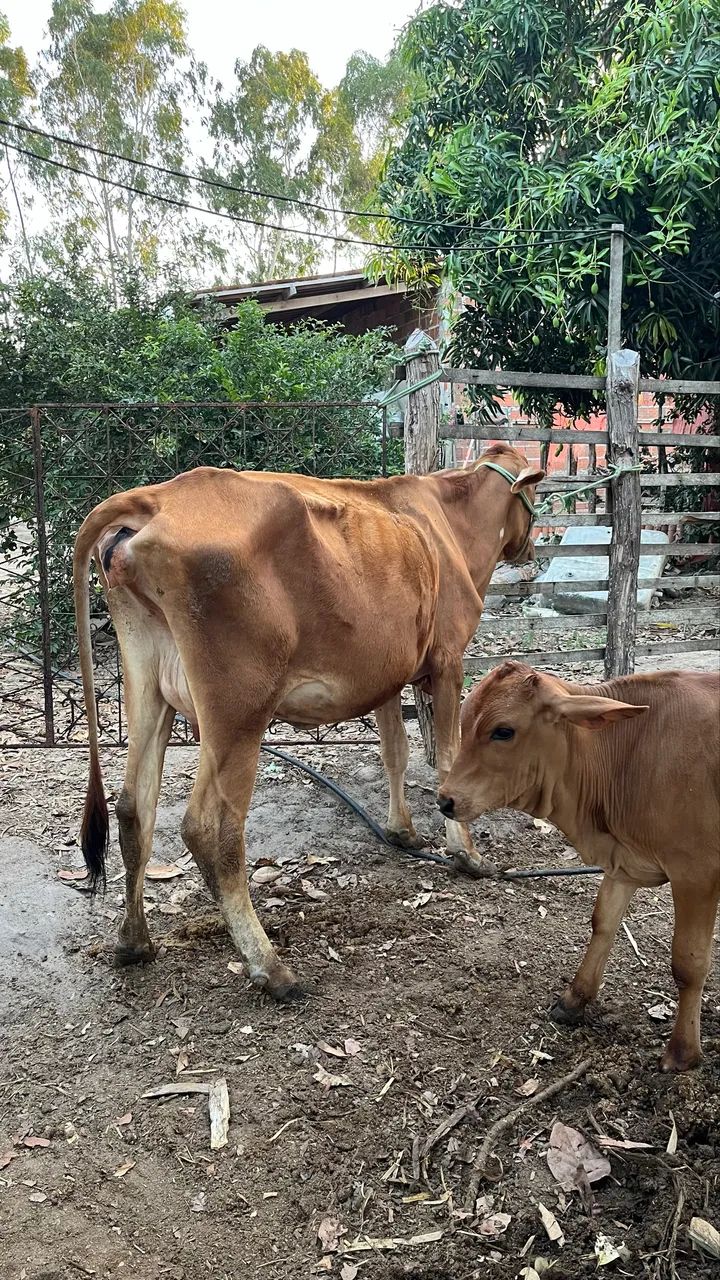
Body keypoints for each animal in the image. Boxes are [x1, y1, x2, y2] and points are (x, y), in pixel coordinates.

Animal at [73, 446, 544, 1000]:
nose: (532, 546)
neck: (450, 521)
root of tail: (156, 497)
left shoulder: (386, 674)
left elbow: (395, 751)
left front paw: (401, 831)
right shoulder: (449, 662)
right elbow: (447, 760)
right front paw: (466, 855)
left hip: (147, 683)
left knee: (133, 809)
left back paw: (134, 942)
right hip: (238, 709)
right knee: (210, 827)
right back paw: (269, 966)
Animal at [437, 661, 720, 1071]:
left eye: (503, 731)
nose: (445, 800)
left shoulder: (697, 873)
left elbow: (689, 961)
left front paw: (683, 1052)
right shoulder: (624, 862)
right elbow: (603, 923)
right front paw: (575, 998)